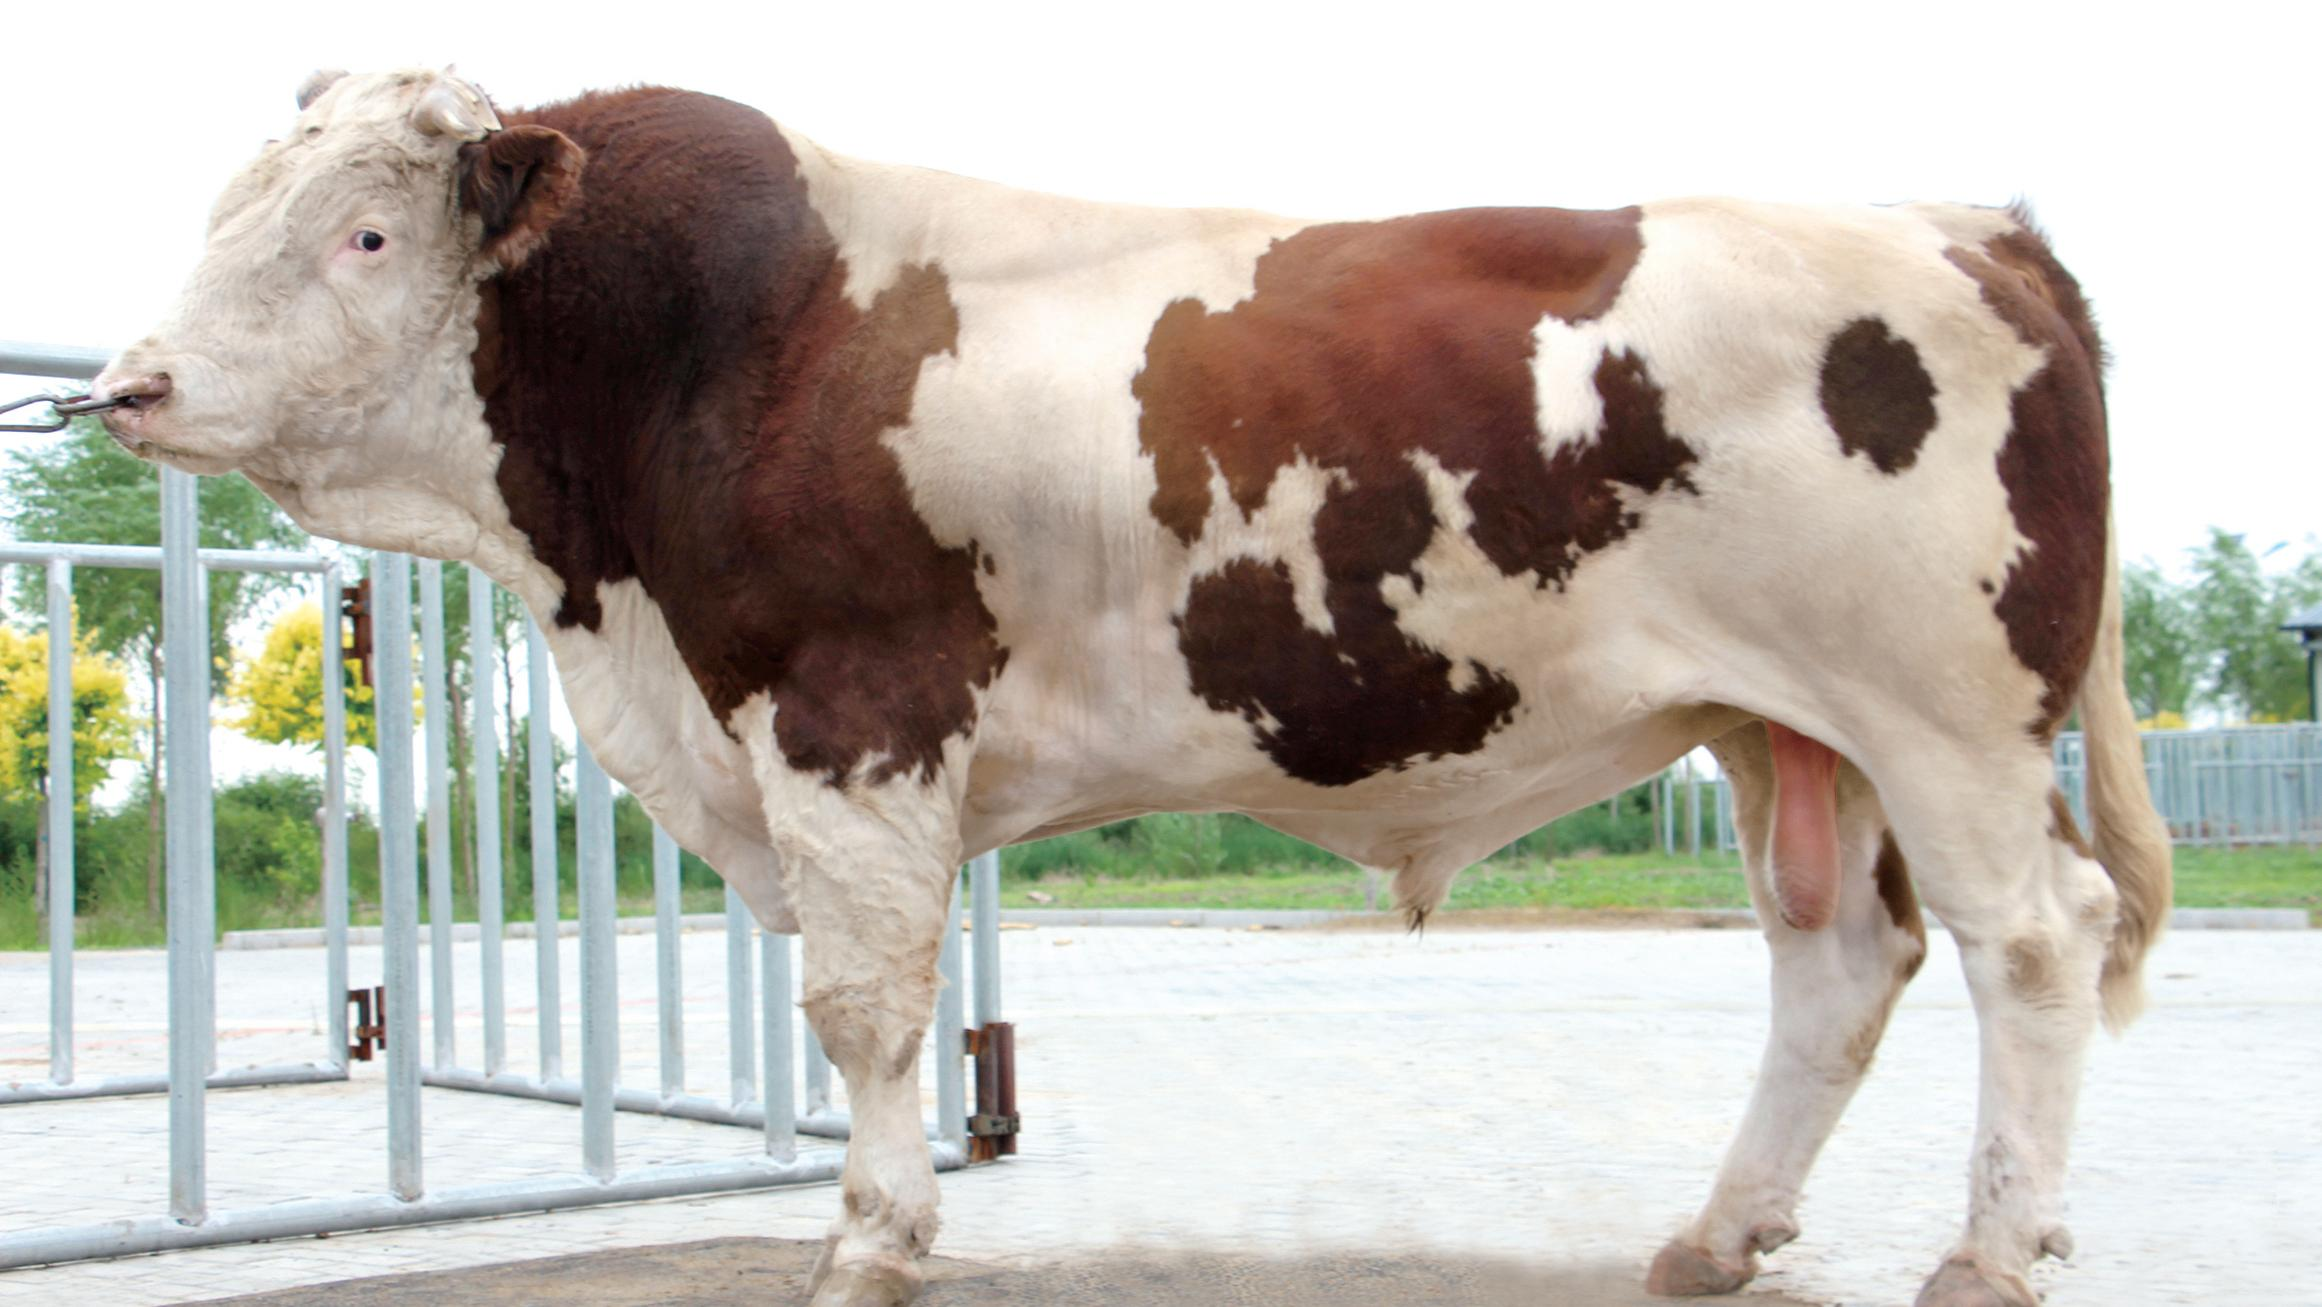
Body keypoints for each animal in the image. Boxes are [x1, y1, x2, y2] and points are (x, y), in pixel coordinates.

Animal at [93, 69, 2172, 1307]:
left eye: (364, 231)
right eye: (224, 211)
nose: (126, 383)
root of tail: (1967, 223)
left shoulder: (855, 714)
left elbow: (862, 1010)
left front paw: (872, 1245)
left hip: (1944, 717)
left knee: (2030, 941)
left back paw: (1989, 1253)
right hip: (1789, 730)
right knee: (1839, 962)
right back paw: (1718, 1234)